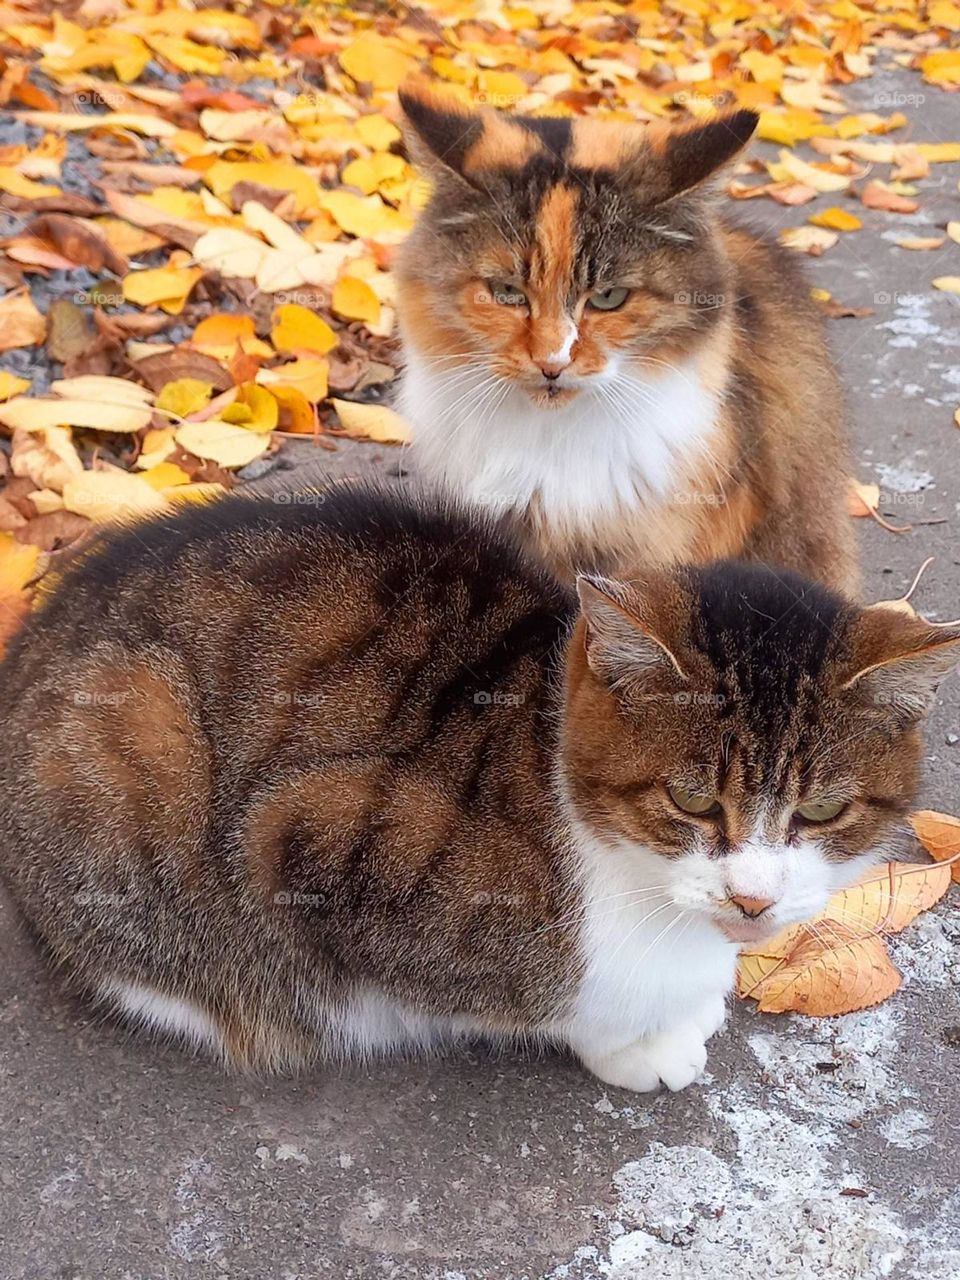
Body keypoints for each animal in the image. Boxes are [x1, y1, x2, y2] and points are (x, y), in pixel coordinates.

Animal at [0, 488, 957, 1090]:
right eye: (691, 802)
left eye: (822, 811)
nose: (752, 901)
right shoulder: (317, 843)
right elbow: (544, 998)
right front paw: (640, 1043)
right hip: (134, 749)